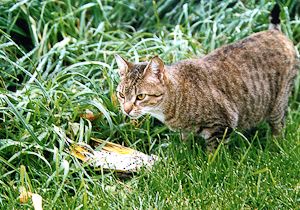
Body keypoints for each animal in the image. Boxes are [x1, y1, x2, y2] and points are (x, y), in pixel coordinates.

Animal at [114, 3, 298, 151]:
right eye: (121, 95)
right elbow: (185, 143)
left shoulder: (222, 125)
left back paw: (275, 145)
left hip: (277, 104)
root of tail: (275, 32)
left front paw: (210, 165)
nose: (126, 109)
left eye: (140, 96)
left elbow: (213, 154)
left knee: (279, 126)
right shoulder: (186, 130)